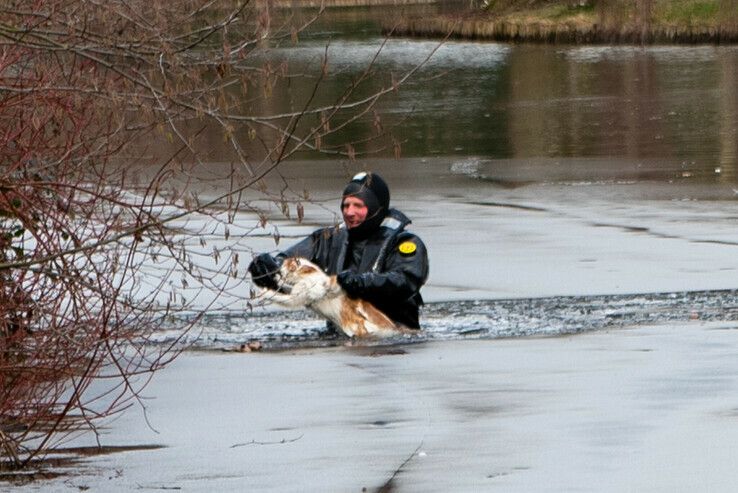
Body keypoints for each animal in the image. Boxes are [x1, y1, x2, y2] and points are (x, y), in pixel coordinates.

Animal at [258, 258, 408, 338]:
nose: (279, 266)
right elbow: (284, 287)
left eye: (286, 264)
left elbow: (280, 297)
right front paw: (276, 280)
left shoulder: (297, 297)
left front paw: (263, 293)